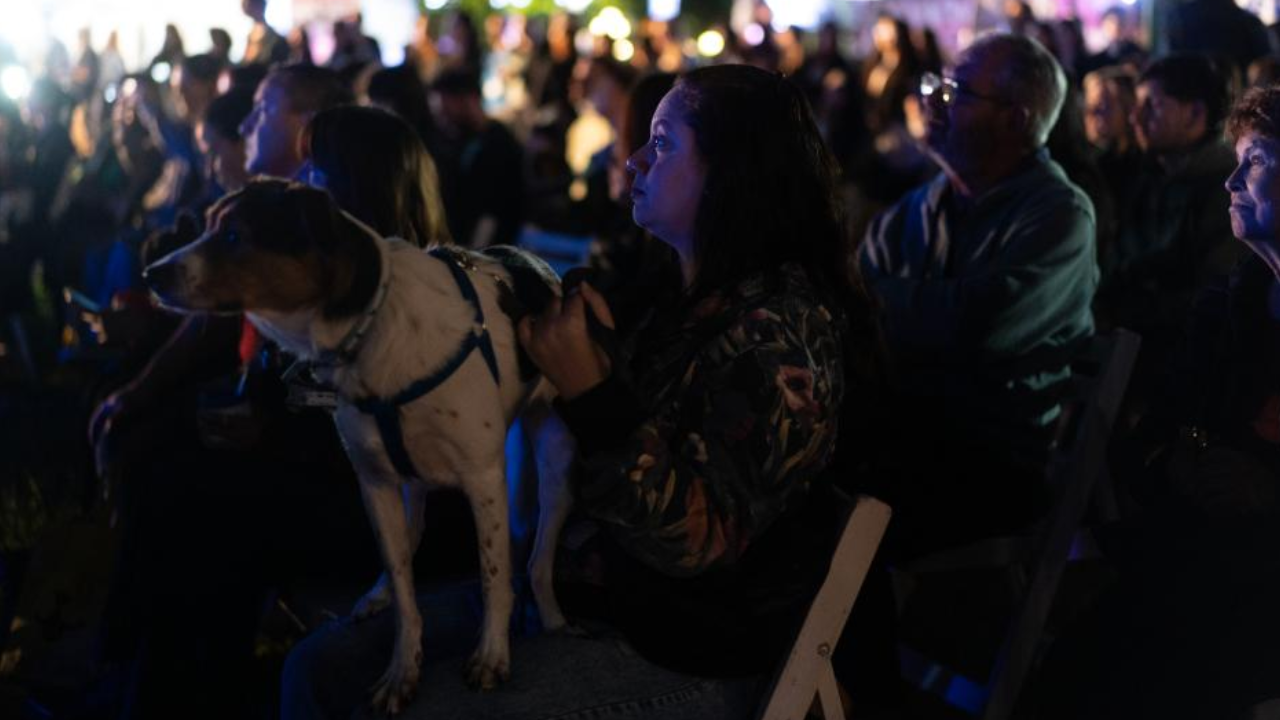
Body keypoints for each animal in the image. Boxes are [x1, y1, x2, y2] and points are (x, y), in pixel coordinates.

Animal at [141, 178, 576, 712]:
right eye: (208, 225)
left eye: (235, 235)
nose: (150, 273)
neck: (372, 329)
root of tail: (536, 262)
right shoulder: (375, 483)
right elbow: (406, 592)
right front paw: (401, 668)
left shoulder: (484, 480)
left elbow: (494, 575)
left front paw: (491, 655)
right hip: (408, 479)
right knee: (411, 540)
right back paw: (380, 591)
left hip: (557, 461)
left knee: (536, 562)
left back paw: (552, 619)